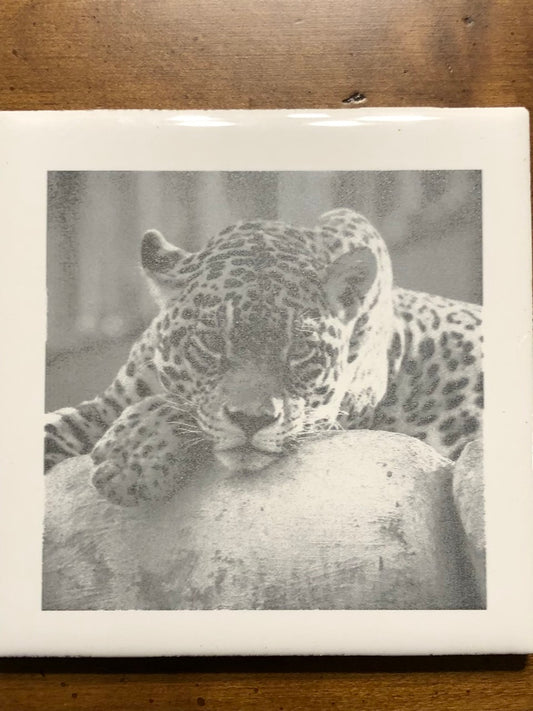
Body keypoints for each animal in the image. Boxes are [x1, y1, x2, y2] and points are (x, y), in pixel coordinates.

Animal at [44, 208, 483, 506]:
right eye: (211, 342)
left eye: (300, 350)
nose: (251, 420)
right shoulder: (104, 405)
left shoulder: (340, 407)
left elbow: (179, 406)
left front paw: (130, 456)